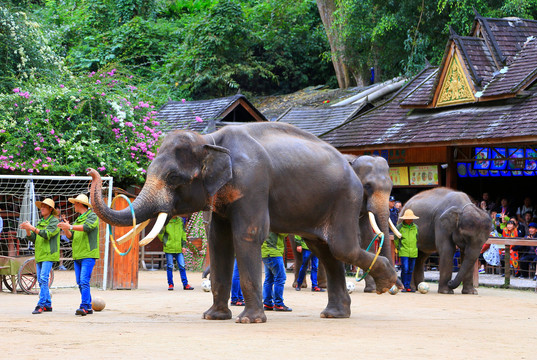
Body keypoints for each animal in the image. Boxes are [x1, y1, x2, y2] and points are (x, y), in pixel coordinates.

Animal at [344, 155, 402, 292]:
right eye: (367, 185)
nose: (400, 287)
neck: (353, 160)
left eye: (391, 186)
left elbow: (367, 236)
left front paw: (371, 288)